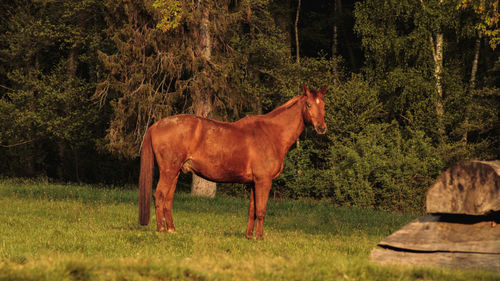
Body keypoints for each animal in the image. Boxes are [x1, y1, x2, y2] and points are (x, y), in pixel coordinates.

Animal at [140, 83, 328, 238]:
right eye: (309, 104)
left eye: (324, 105)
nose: (321, 128)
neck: (271, 133)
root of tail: (157, 124)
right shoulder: (263, 181)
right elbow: (261, 210)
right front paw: (260, 237)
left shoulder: (253, 182)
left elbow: (252, 210)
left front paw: (249, 236)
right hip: (168, 171)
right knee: (159, 195)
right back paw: (161, 229)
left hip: (176, 172)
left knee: (168, 199)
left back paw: (171, 230)